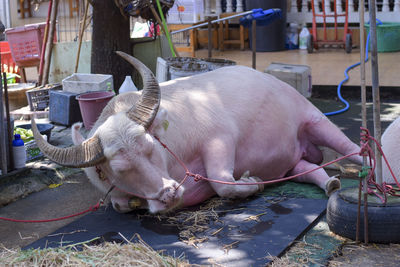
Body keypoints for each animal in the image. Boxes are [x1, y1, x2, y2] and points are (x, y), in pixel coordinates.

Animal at [31, 51, 362, 214]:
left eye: (152, 147)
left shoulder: (220, 139)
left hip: (315, 119)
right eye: (119, 169)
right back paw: (330, 182)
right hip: (291, 160)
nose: (169, 193)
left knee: (353, 149)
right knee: (308, 168)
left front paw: (252, 181)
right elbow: (121, 205)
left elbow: (223, 184)